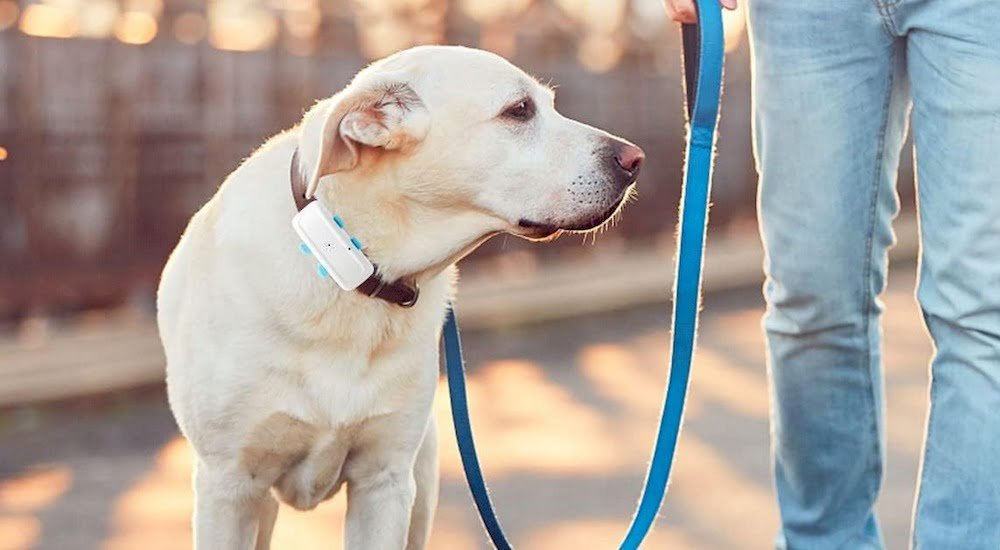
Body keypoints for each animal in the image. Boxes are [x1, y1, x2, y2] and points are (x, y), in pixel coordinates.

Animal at [154, 45, 640, 548]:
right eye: (520, 110)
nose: (634, 159)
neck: (352, 271)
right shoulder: (227, 486)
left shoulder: (384, 482)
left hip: (420, 482)